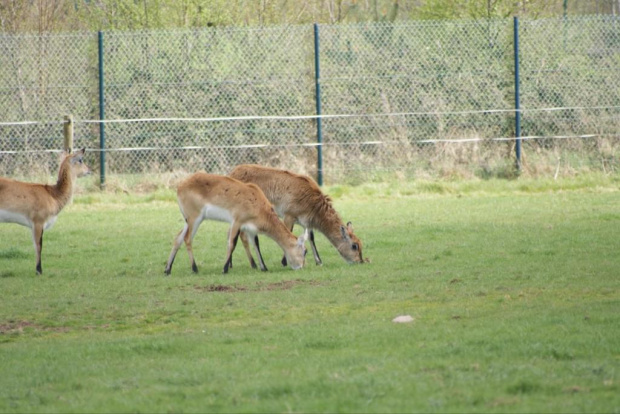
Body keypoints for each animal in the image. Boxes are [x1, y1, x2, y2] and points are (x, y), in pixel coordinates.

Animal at [163, 171, 306, 274]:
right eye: (305, 251)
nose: (301, 267)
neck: (258, 204)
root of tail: (180, 186)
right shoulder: (237, 222)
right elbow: (232, 243)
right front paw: (225, 269)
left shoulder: (250, 228)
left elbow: (256, 245)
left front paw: (263, 267)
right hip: (195, 219)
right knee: (187, 239)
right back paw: (194, 268)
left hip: (188, 221)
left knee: (178, 238)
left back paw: (168, 269)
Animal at [228, 164, 364, 266]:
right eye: (354, 245)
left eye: (360, 243)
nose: (360, 261)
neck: (313, 203)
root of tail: (231, 173)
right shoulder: (289, 215)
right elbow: (288, 233)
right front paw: (284, 262)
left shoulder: (305, 221)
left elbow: (311, 237)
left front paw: (319, 261)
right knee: (241, 235)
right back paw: (253, 264)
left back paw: (231, 264)